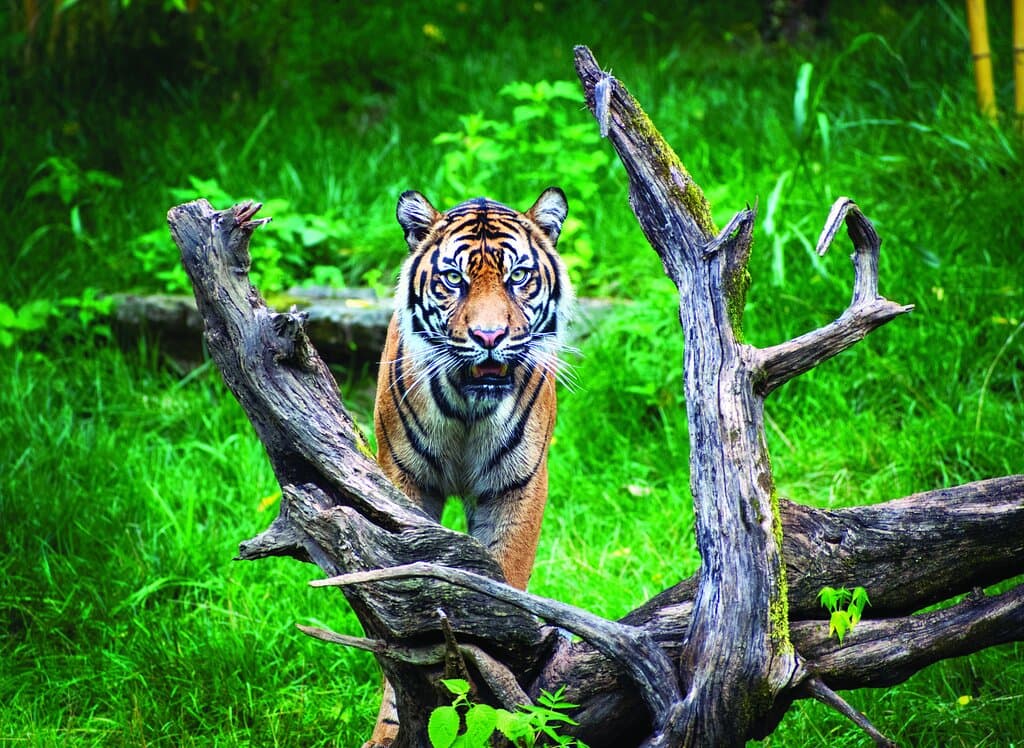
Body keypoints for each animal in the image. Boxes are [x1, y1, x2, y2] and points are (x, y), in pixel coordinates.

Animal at [365, 187, 573, 747]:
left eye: (518, 276)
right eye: (453, 280)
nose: (488, 336)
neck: (467, 405)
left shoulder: (517, 486)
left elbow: (504, 581)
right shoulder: (405, 482)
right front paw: (394, 726)